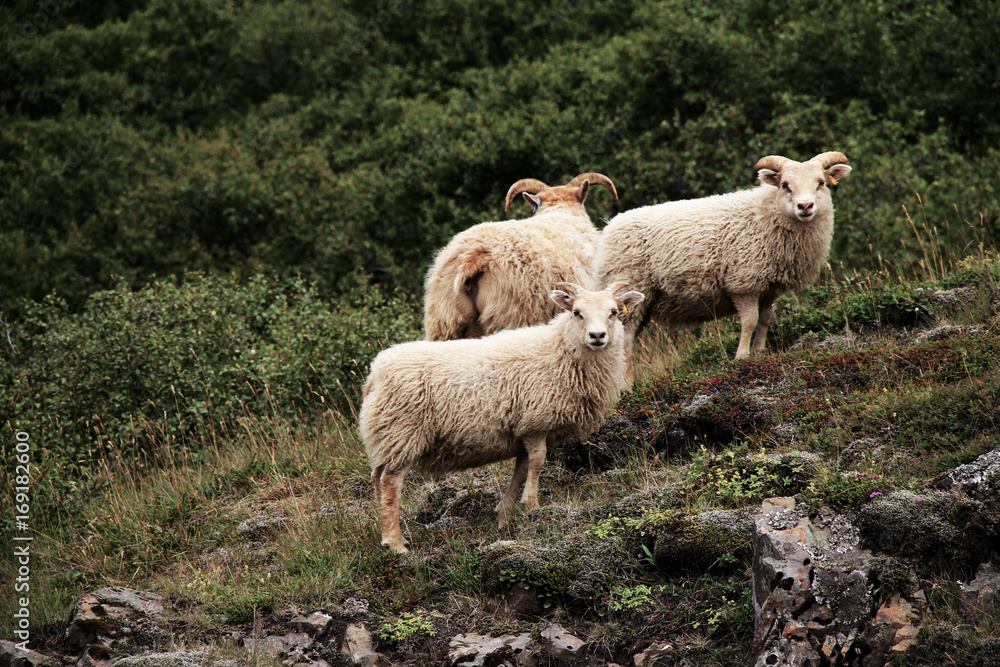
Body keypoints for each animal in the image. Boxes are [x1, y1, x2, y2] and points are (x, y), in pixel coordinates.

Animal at [360, 282, 645, 553]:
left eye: (614, 312)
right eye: (577, 313)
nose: (597, 336)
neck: (559, 350)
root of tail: (375, 372)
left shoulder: (521, 429)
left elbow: (521, 468)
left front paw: (505, 513)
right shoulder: (535, 421)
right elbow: (537, 462)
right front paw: (531, 504)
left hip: (388, 434)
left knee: (377, 478)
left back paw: (383, 530)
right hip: (402, 431)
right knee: (390, 483)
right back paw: (395, 543)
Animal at [595, 151, 852, 381]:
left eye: (821, 183)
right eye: (785, 185)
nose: (805, 206)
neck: (765, 214)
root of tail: (608, 229)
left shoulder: (770, 287)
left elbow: (766, 318)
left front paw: (759, 352)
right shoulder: (744, 282)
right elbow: (749, 321)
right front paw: (742, 357)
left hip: (643, 301)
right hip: (634, 287)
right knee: (626, 340)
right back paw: (627, 385)